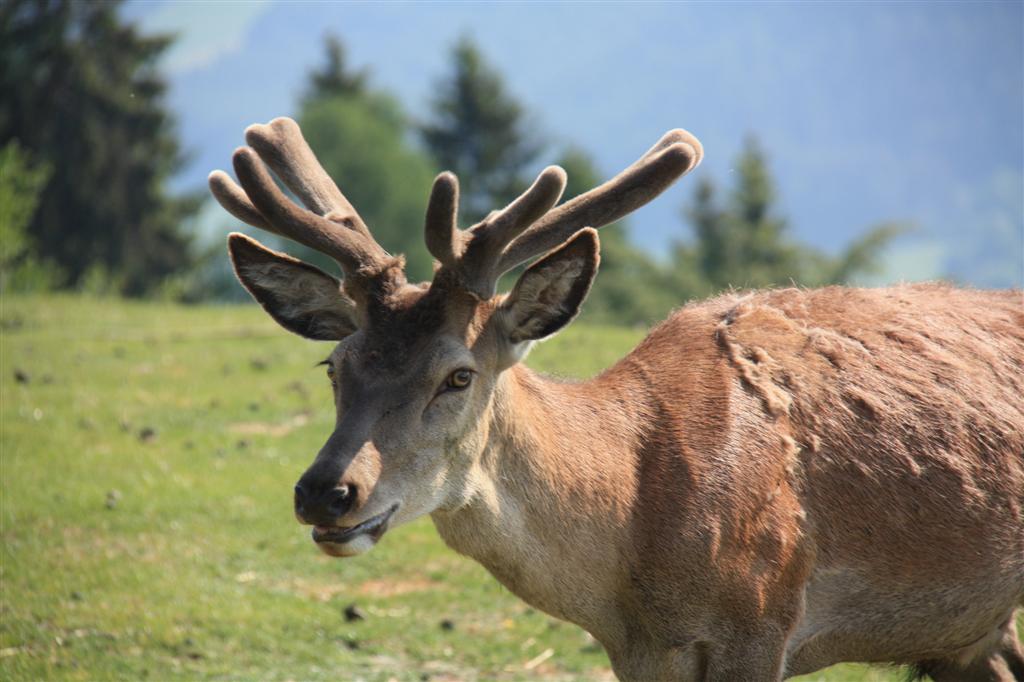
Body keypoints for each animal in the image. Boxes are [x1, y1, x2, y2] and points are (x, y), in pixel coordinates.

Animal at [207, 114, 1024, 675]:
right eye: (334, 366)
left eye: (458, 374)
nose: (327, 492)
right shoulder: (639, 654)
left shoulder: (766, 614)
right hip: (969, 631)